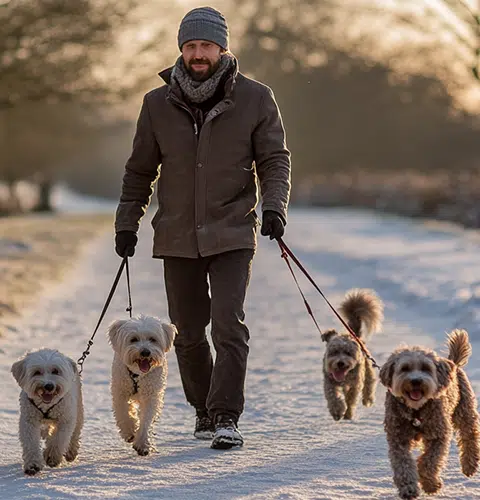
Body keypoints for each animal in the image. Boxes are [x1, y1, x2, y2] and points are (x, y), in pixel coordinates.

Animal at [10, 346, 83, 474]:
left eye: (55, 371)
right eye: (37, 372)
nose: (49, 386)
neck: (46, 405)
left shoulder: (66, 418)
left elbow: (59, 438)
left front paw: (52, 457)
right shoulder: (28, 420)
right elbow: (31, 442)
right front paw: (33, 465)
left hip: (78, 409)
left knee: (75, 431)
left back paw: (71, 451)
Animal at [106, 314, 177, 456]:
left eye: (152, 339)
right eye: (134, 339)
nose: (145, 352)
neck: (137, 374)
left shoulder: (151, 395)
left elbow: (146, 419)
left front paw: (142, 444)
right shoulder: (120, 392)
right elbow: (123, 412)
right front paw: (129, 431)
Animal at [320, 290, 384, 422]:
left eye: (348, 353)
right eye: (334, 352)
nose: (340, 363)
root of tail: (354, 334)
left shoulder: (355, 384)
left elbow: (351, 399)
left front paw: (348, 414)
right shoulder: (329, 381)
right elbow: (332, 395)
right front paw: (337, 411)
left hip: (367, 366)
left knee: (369, 382)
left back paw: (368, 399)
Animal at [380, 330, 478, 498]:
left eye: (426, 368)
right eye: (404, 368)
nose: (416, 381)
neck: (416, 410)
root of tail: (453, 363)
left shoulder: (438, 434)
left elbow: (429, 461)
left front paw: (430, 484)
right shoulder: (397, 438)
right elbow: (403, 464)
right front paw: (408, 488)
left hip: (464, 409)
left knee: (469, 434)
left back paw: (469, 465)